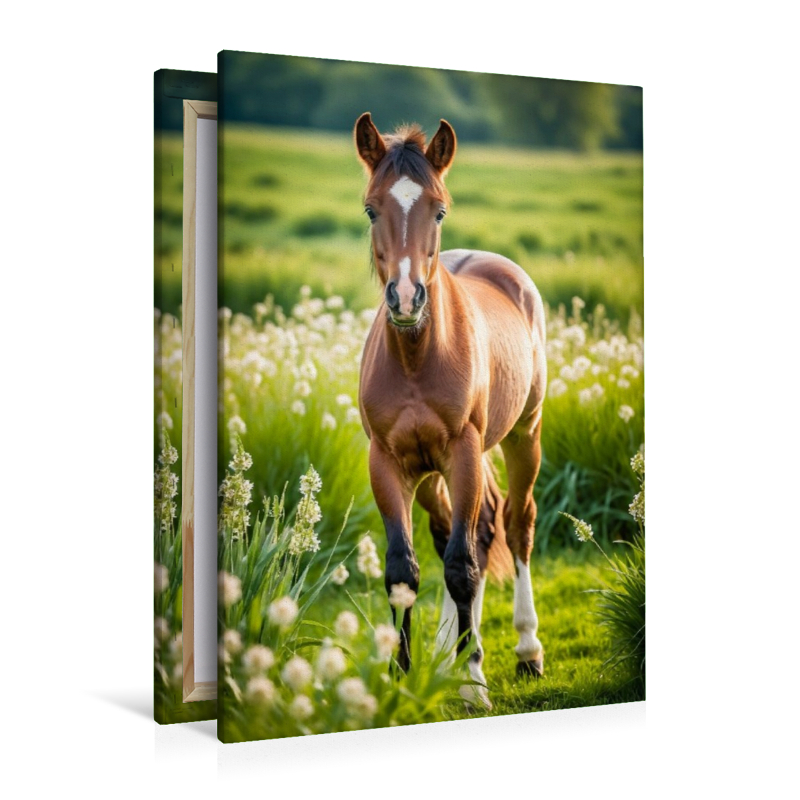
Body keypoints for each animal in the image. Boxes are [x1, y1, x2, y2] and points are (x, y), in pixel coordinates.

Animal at [354, 113, 547, 707]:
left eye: (439, 209)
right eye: (372, 208)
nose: (406, 298)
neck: (419, 357)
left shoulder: (464, 452)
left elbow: (462, 568)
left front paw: (475, 687)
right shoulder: (388, 462)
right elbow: (405, 570)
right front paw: (399, 677)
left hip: (521, 437)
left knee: (514, 524)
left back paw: (525, 652)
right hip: (434, 472)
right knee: (463, 534)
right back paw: (449, 656)